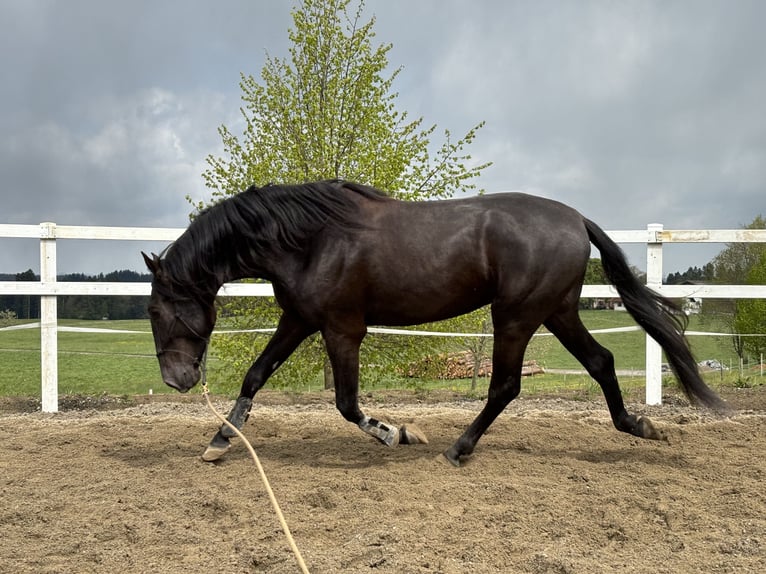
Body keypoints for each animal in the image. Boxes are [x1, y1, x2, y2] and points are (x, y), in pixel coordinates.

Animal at [142, 180, 728, 468]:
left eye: (153, 309)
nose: (176, 379)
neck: (312, 238)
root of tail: (575, 219)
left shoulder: (341, 329)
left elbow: (347, 404)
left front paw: (396, 433)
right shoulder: (300, 319)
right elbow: (255, 376)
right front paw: (219, 441)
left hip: (516, 315)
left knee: (506, 385)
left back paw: (457, 449)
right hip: (556, 311)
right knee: (601, 362)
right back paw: (641, 426)